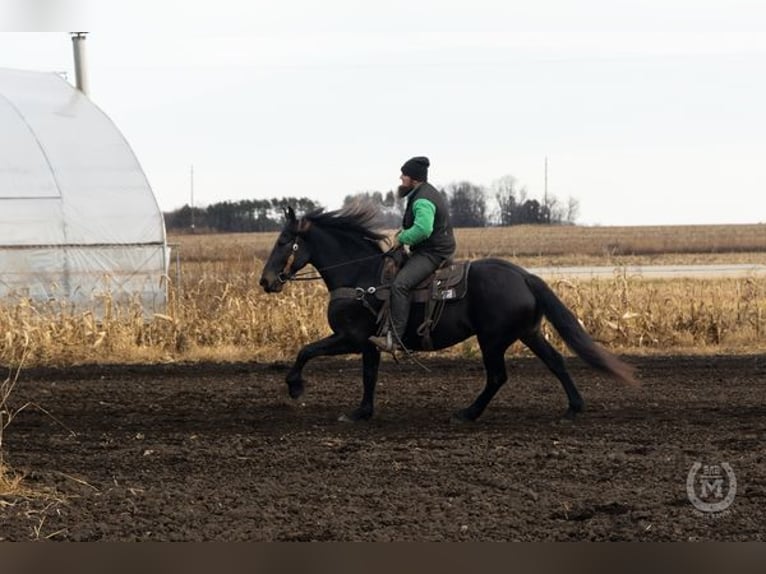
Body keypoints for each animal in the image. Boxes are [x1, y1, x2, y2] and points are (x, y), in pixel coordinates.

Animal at [259, 204, 636, 423]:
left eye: (283, 241)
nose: (265, 281)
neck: (359, 276)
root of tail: (524, 276)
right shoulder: (369, 344)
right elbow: (368, 376)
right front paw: (362, 412)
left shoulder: (351, 338)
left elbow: (307, 350)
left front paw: (295, 387)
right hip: (528, 333)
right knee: (555, 361)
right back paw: (574, 407)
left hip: (492, 339)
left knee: (497, 376)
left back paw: (468, 413)